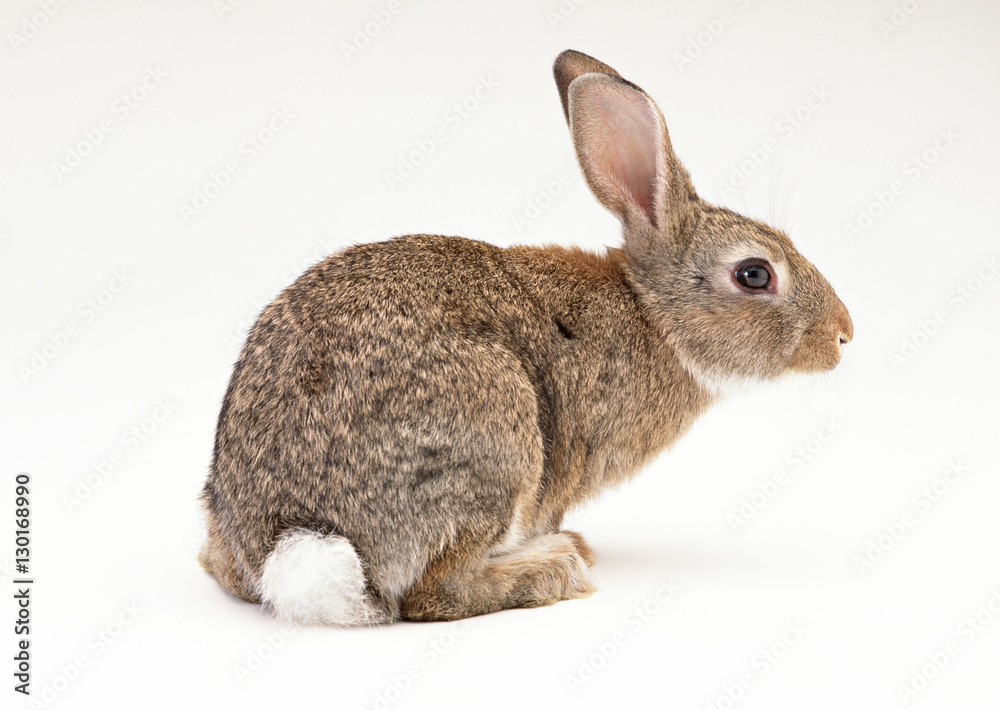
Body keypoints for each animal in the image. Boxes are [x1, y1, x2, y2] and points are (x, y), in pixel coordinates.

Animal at [199, 49, 853, 625]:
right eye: (755, 274)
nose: (844, 333)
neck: (652, 314)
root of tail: (290, 542)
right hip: (497, 437)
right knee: (432, 594)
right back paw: (553, 567)